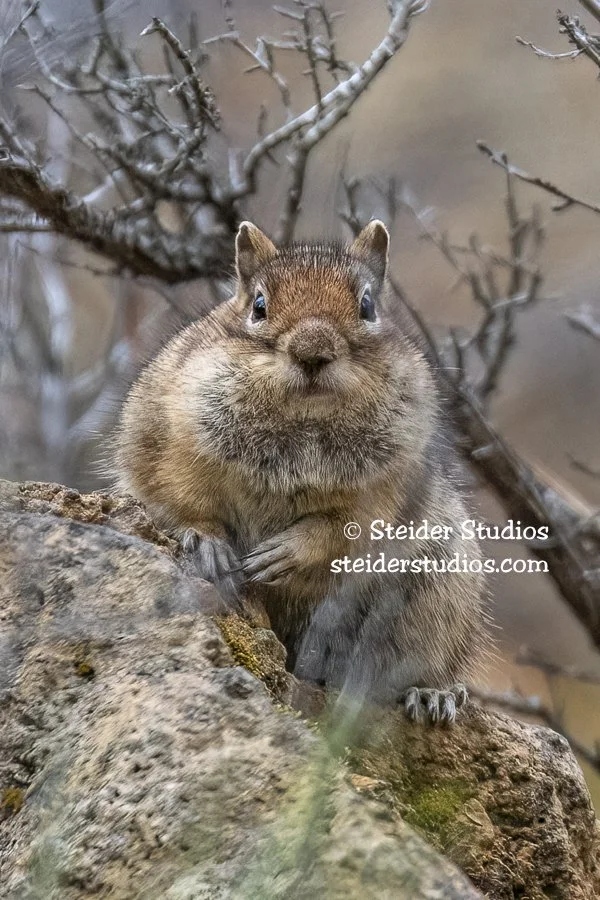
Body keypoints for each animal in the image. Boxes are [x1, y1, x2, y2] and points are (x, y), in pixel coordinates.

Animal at [115, 220, 488, 724]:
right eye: (258, 305)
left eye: (367, 306)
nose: (313, 352)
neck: (304, 422)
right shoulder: (176, 449)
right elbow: (182, 502)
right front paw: (211, 546)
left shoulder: (384, 492)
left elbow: (341, 531)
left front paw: (284, 553)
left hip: (435, 595)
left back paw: (432, 695)